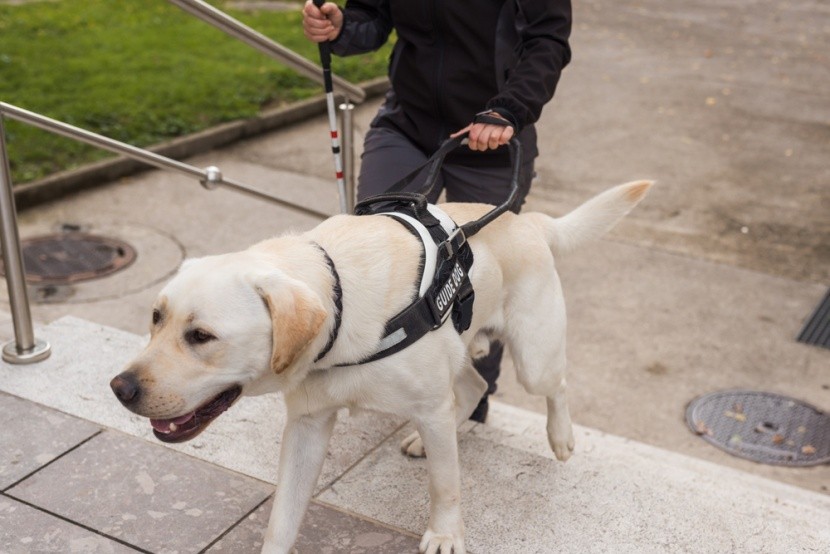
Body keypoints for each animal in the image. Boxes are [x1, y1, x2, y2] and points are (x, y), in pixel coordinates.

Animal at [110, 179, 652, 548]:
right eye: (155, 318)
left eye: (201, 336)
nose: (120, 388)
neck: (340, 308)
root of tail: (527, 219)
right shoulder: (307, 425)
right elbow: (283, 513)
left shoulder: (429, 405)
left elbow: (445, 484)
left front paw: (445, 534)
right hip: (456, 351)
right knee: (474, 387)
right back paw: (428, 438)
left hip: (533, 356)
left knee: (553, 385)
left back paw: (560, 437)